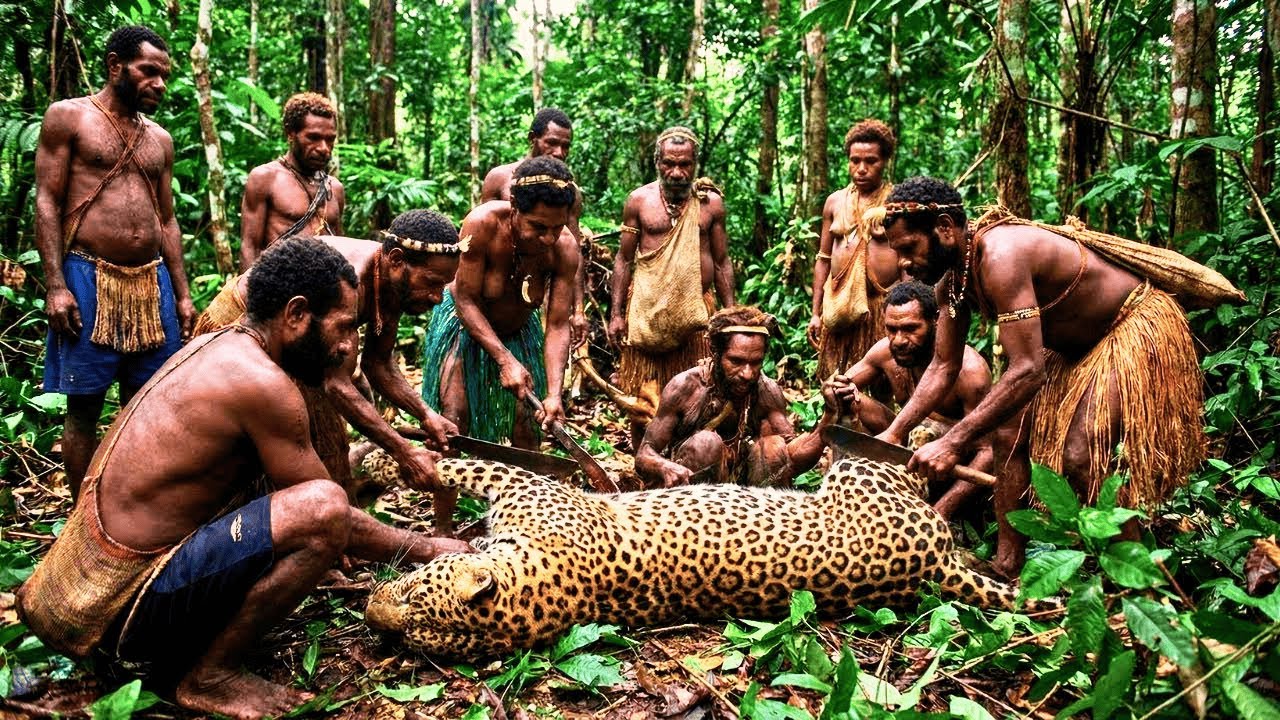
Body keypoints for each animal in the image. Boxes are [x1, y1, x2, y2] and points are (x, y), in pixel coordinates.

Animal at [364, 454, 1034, 659]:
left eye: (417, 601)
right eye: (420, 640)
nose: (371, 617)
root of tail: (937, 565)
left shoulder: (527, 484)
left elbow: (456, 463)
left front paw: (380, 463)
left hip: (855, 466)